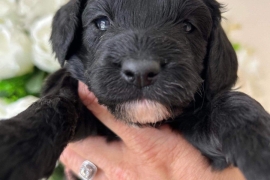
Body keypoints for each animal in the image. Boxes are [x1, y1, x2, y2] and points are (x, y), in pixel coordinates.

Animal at [0, 0, 270, 179]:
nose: (141, 72)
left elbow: (232, 103)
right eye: (101, 23)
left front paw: (259, 146)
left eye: (187, 27)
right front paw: (17, 143)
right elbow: (55, 103)